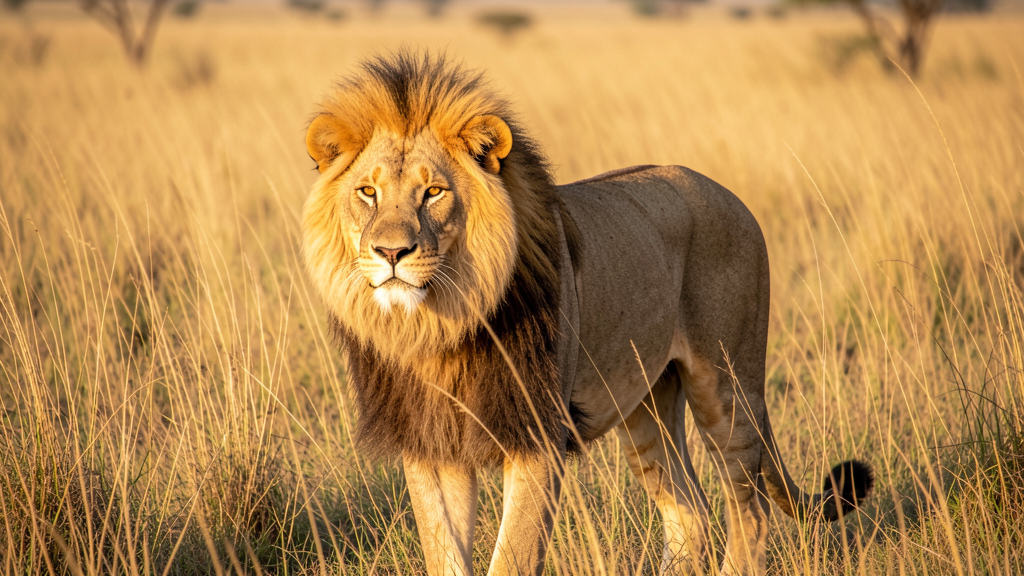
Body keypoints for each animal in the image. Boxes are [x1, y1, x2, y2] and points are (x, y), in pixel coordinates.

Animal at [302, 52, 873, 576]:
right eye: (368, 192)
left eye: (434, 192)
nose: (390, 252)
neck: (440, 326)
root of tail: (729, 194)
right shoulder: (430, 445)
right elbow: (443, 554)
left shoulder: (538, 436)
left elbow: (512, 557)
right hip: (646, 408)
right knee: (690, 510)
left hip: (727, 387)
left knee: (748, 511)